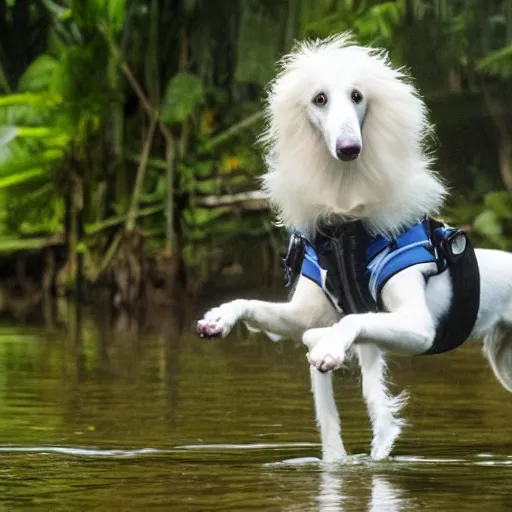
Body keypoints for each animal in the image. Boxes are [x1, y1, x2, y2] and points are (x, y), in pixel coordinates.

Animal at [195, 34, 512, 462]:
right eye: (319, 99)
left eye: (358, 96)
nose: (349, 148)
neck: (347, 231)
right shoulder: (303, 315)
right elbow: (263, 310)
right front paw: (220, 317)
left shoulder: (420, 327)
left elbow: (349, 324)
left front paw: (329, 351)